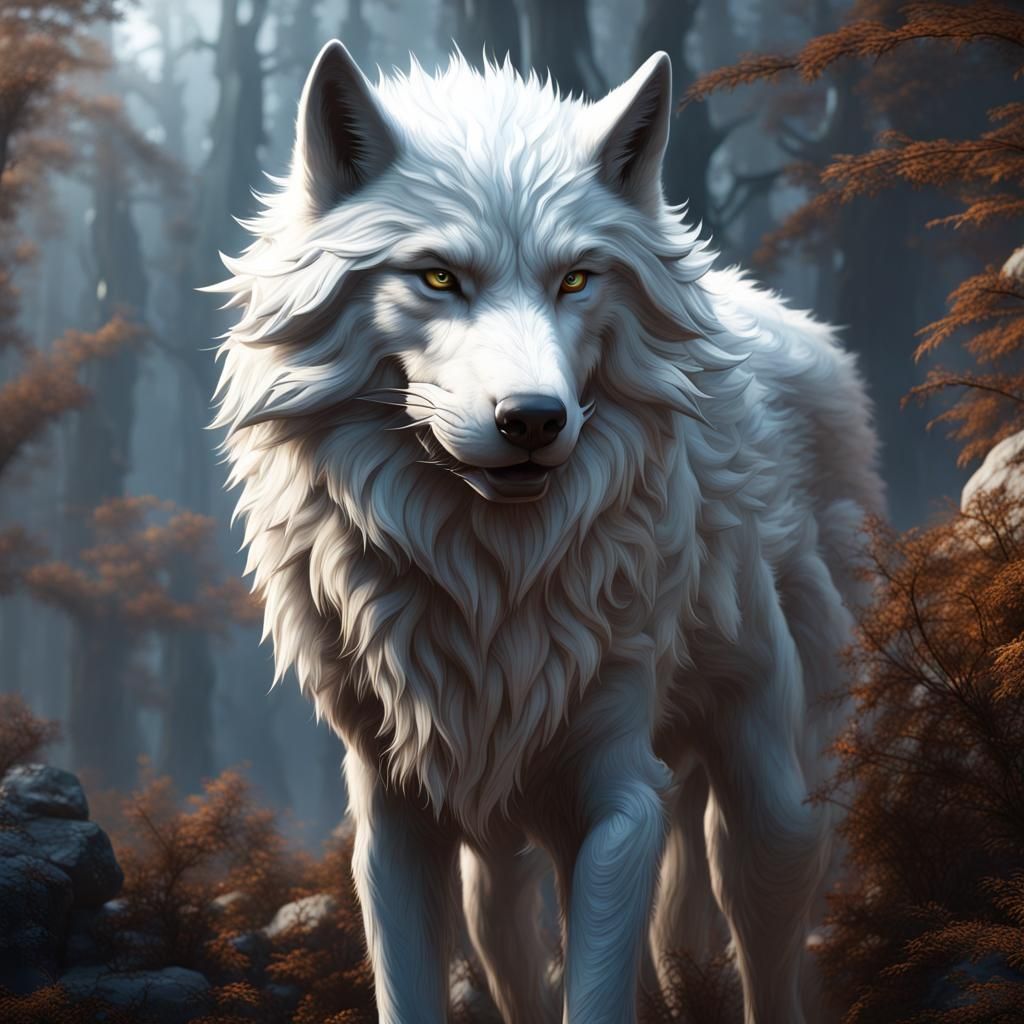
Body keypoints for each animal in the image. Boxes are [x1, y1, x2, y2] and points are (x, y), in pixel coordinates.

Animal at [210, 39, 884, 1024]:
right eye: (438, 277)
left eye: (575, 278)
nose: (533, 418)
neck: (488, 579)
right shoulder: (394, 813)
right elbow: (414, 984)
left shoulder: (620, 800)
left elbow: (601, 987)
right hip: (510, 847)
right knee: (524, 937)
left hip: (767, 793)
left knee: (763, 924)